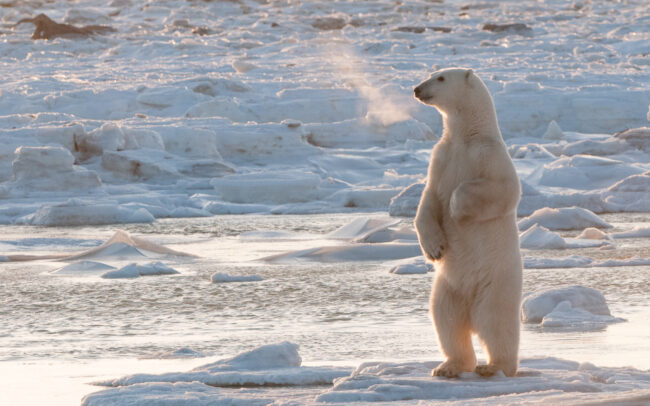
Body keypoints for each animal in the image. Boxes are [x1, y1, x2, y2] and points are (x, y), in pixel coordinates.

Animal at [413, 68, 523, 378]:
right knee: (447, 321)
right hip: (447, 288)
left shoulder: (490, 156)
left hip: (496, 285)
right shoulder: (440, 158)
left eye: (440, 78)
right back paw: (448, 366)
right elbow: (426, 202)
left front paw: (456, 208)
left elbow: (504, 189)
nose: (416, 89)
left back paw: (494, 366)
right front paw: (434, 248)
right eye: (432, 73)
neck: (467, 137)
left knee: (497, 324)